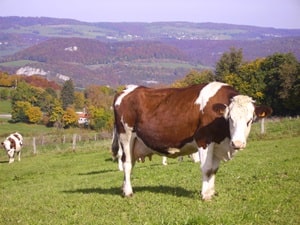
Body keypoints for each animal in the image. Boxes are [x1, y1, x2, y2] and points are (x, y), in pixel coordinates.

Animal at [111, 82, 270, 200]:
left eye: (250, 120)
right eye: (230, 118)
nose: (237, 144)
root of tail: (126, 89)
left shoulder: (217, 145)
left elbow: (214, 169)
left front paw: (211, 192)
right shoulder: (204, 140)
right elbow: (207, 168)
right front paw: (205, 195)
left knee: (130, 163)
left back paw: (124, 189)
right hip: (126, 136)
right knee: (127, 164)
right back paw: (129, 192)